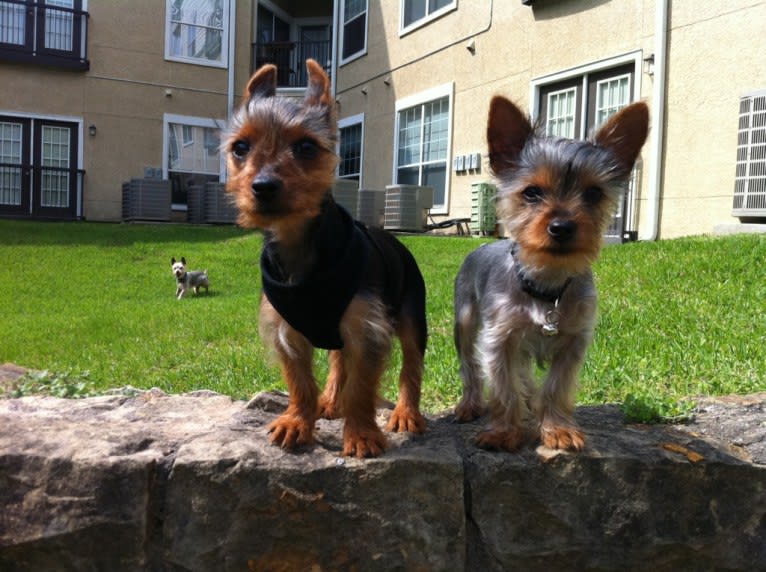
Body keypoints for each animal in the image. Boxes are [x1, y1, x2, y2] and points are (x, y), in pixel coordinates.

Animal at [452, 96, 652, 452]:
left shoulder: (574, 340)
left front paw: (557, 428)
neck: (546, 284)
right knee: (471, 367)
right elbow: (504, 388)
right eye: (531, 192)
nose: (561, 227)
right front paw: (503, 431)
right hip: (464, 321)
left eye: (593, 193)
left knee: (525, 376)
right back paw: (469, 404)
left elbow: (556, 387)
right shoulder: (499, 338)